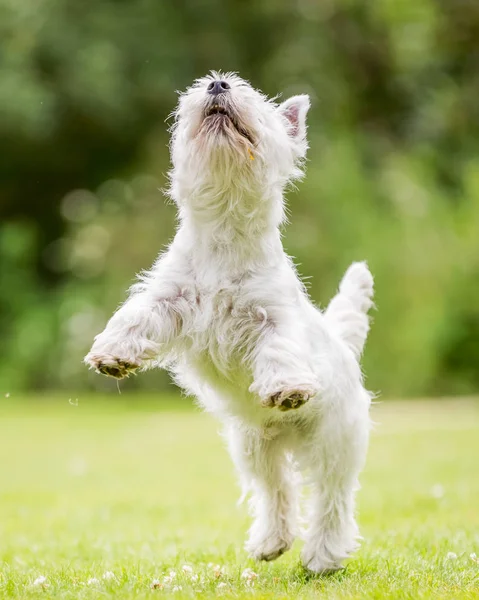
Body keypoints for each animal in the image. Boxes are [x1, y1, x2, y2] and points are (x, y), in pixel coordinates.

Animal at [84, 72, 376, 576]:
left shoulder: (271, 314)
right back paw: (270, 543)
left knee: (332, 500)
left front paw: (287, 387)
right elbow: (136, 315)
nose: (219, 83)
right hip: (253, 446)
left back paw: (322, 557)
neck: (224, 230)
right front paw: (113, 352)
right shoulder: (171, 298)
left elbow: (279, 349)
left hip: (335, 441)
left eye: (255, 98)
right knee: (276, 490)